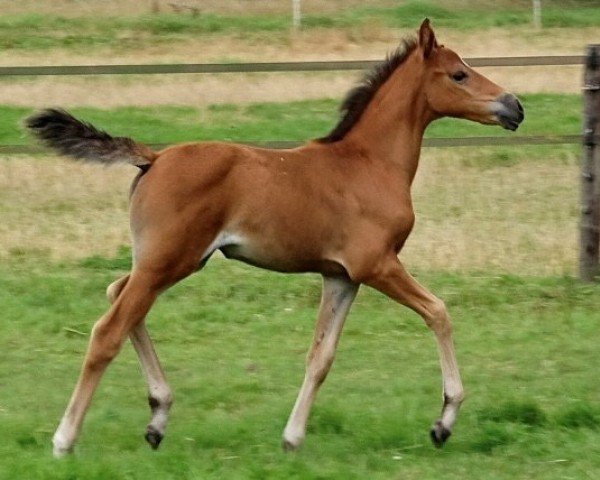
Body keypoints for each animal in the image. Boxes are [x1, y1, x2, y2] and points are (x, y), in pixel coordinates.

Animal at [25, 19, 524, 458]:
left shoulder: (342, 276)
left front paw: (292, 439)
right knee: (108, 329)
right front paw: (443, 423)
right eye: (459, 74)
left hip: (169, 261)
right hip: (167, 260)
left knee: (118, 296)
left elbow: (321, 356)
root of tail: (155, 157)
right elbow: (439, 312)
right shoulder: (377, 264)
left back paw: (157, 418)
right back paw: (65, 439)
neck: (369, 163)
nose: (515, 106)